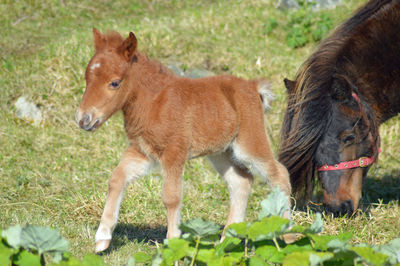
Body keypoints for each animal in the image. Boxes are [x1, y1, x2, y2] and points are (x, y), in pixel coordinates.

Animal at [76, 28, 292, 251]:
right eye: (87, 78)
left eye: (115, 83)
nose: (84, 120)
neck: (154, 101)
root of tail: (253, 86)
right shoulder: (143, 151)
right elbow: (117, 178)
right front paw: (102, 238)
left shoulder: (174, 152)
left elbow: (171, 197)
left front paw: (173, 243)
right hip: (221, 152)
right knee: (241, 181)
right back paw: (225, 243)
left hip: (249, 143)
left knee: (278, 174)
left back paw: (289, 235)